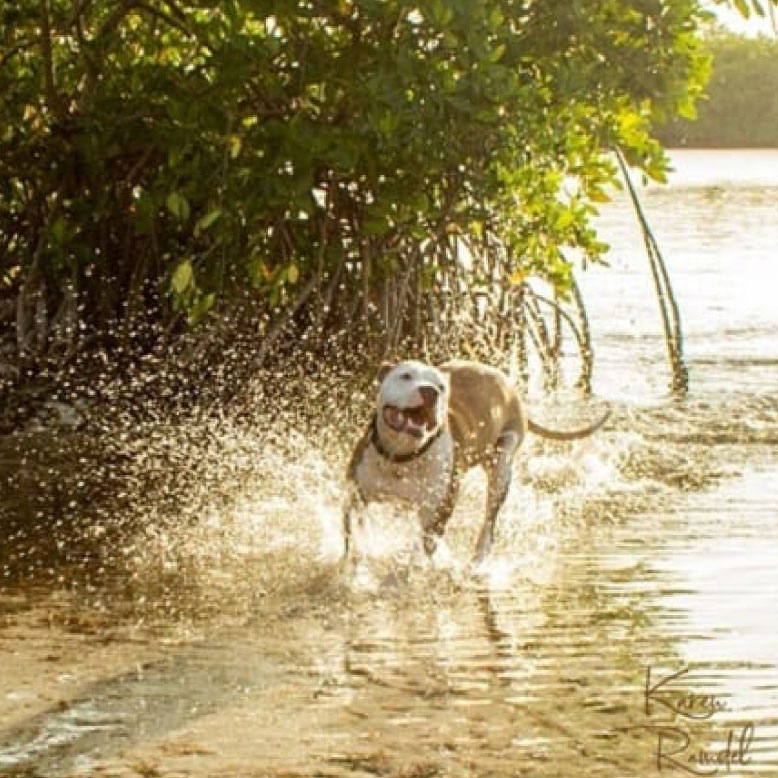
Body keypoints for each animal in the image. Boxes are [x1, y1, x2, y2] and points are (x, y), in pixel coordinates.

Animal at [342, 358, 608, 564]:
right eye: (405, 376)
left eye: (440, 387)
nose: (430, 391)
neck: (402, 457)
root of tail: (509, 385)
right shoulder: (355, 495)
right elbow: (354, 538)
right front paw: (354, 569)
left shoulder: (438, 510)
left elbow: (422, 548)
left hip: (502, 467)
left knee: (489, 521)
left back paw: (478, 560)